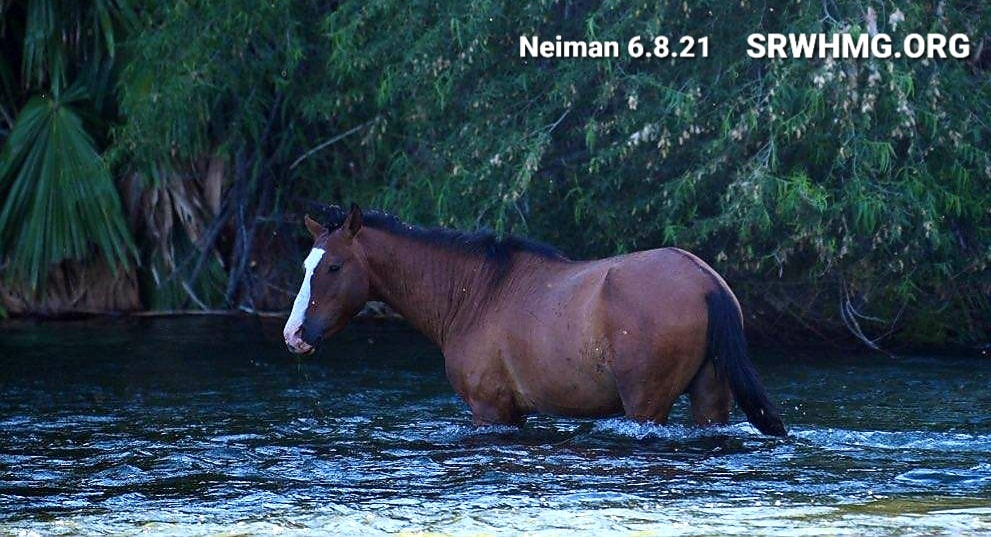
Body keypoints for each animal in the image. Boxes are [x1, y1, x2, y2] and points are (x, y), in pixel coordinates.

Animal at [283, 204, 786, 436]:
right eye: (304, 265)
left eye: (332, 267)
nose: (294, 335)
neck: (476, 294)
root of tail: (707, 281)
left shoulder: (489, 409)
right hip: (710, 396)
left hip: (647, 404)